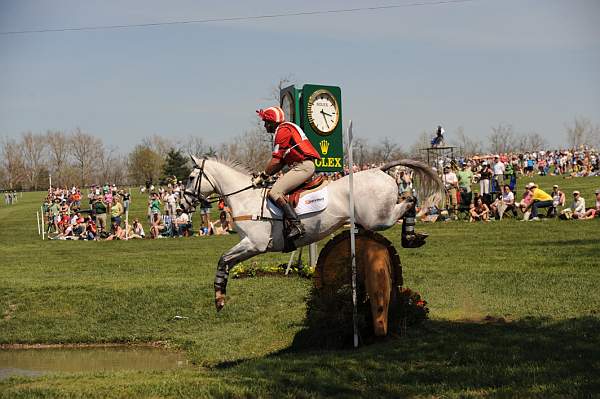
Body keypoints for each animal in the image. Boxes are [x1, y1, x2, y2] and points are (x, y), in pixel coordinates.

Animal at [180, 156, 442, 312]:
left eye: (191, 178)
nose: (183, 205)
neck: (245, 198)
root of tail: (379, 169)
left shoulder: (255, 244)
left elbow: (222, 259)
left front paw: (218, 297)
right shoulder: (250, 246)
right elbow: (225, 262)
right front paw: (220, 297)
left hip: (378, 218)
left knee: (410, 201)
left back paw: (410, 237)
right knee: (407, 201)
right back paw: (413, 237)